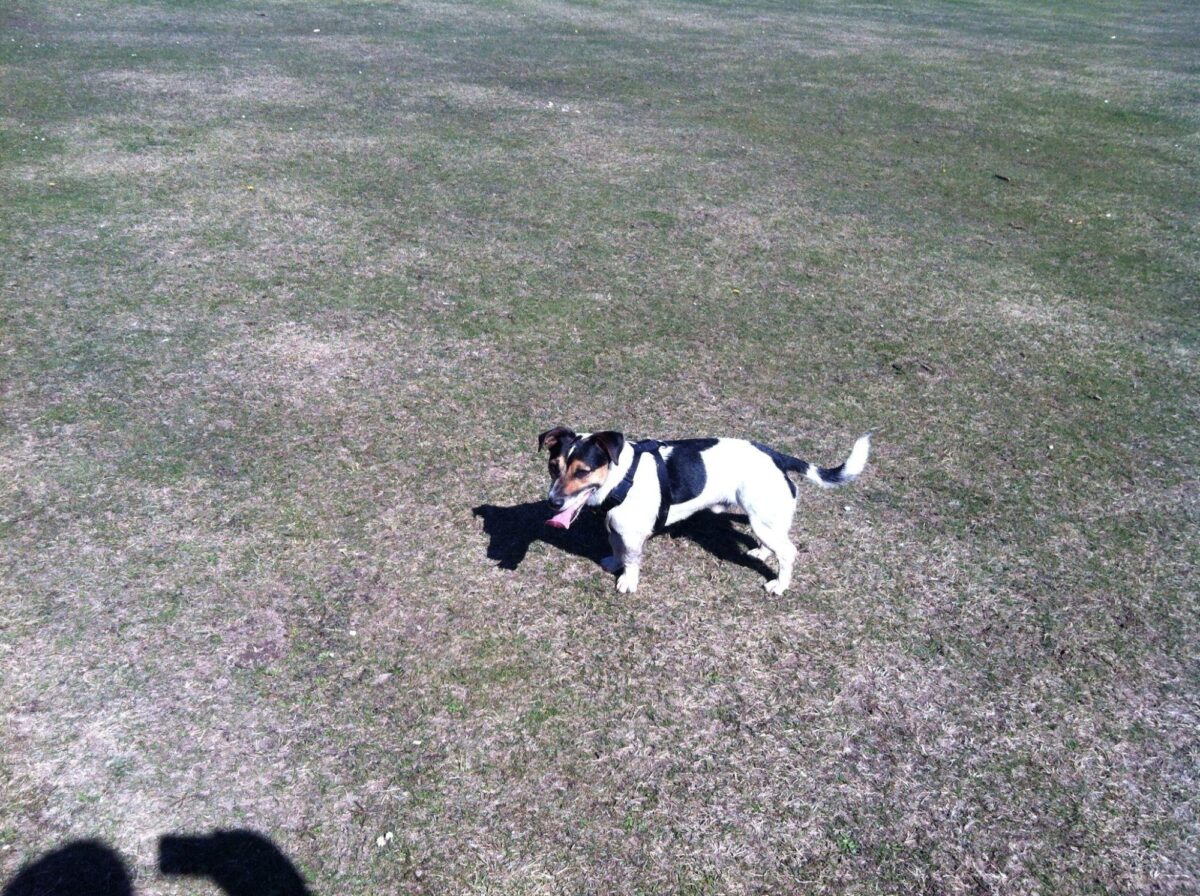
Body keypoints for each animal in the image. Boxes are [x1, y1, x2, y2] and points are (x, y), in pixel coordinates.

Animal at [540, 427, 868, 594]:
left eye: (583, 471)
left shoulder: (632, 535)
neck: (621, 477)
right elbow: (616, 548)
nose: (553, 503)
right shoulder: (617, 528)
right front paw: (612, 561)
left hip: (762, 519)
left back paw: (779, 584)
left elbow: (632, 561)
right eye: (553, 466)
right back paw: (762, 554)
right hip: (765, 519)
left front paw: (627, 582)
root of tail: (776, 456)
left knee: (788, 552)